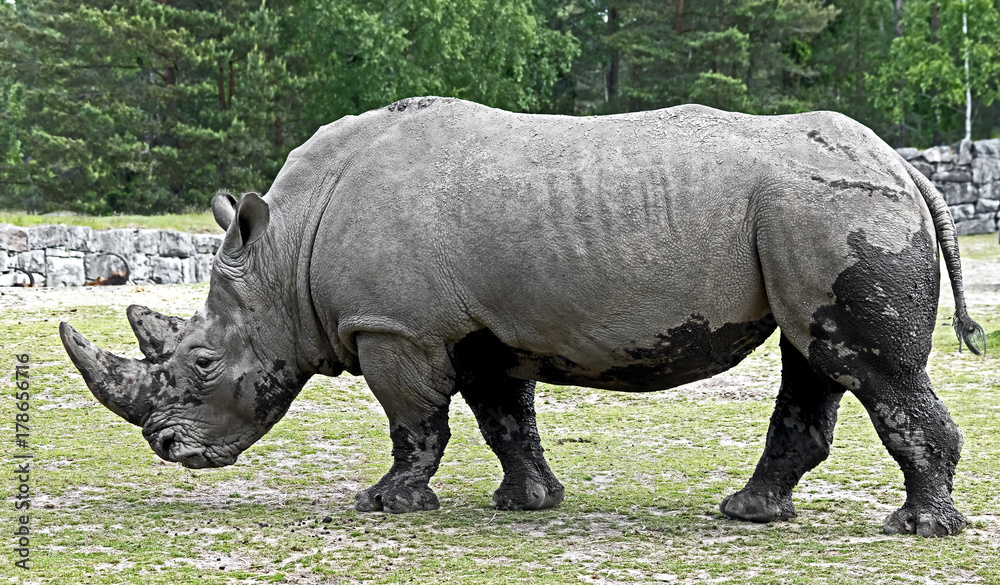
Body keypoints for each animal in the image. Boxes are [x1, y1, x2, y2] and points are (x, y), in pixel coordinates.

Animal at [61, 97, 984, 537]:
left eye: (203, 364)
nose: (167, 447)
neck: (285, 252)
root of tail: (903, 166)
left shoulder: (394, 327)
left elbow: (415, 422)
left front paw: (386, 504)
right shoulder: (480, 333)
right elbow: (504, 418)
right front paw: (527, 503)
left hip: (832, 209)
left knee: (867, 366)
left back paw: (916, 529)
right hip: (814, 212)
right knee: (816, 357)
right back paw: (749, 512)